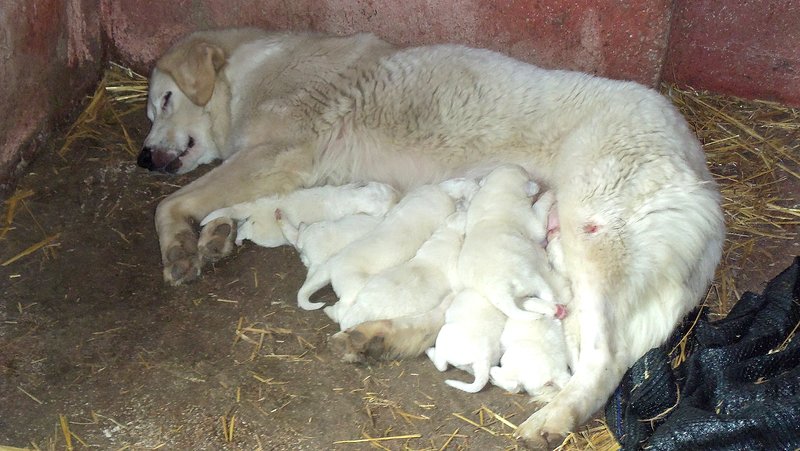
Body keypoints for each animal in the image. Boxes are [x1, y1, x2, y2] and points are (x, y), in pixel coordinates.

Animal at [462, 166, 568, 322]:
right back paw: (557, 307)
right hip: (530, 277)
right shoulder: (531, 219)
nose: (539, 185)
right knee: (546, 293)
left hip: (517, 296)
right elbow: (540, 212)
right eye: (528, 176)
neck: (495, 190)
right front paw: (548, 193)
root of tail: (499, 292)